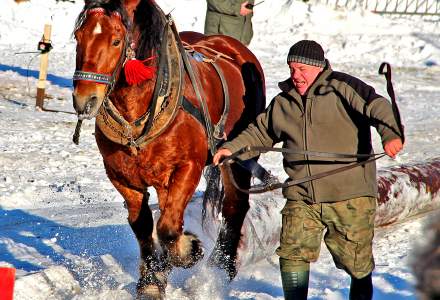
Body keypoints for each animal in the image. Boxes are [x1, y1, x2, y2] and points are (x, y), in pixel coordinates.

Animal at [72, 0, 264, 298]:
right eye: (78, 37)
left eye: (116, 40)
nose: (85, 99)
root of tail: (232, 45)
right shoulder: (122, 176)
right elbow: (143, 226)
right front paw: (153, 279)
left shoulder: (187, 168)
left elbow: (169, 228)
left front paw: (189, 251)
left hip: (238, 156)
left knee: (235, 207)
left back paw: (221, 268)